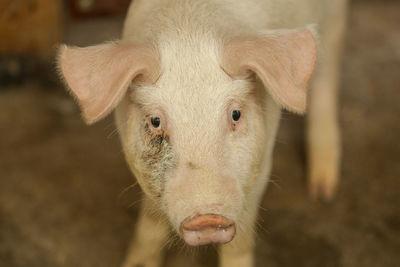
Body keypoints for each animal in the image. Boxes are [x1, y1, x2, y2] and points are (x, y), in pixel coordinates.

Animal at [56, 0, 346, 267]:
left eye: (236, 114)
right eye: (155, 121)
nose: (208, 219)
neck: (189, 29)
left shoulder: (262, 163)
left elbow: (239, 242)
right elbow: (150, 222)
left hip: (333, 17)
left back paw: (323, 192)